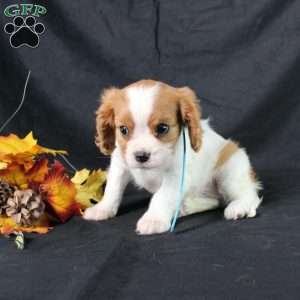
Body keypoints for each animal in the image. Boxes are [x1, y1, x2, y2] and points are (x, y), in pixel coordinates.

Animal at [83, 79, 262, 234]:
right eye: (123, 130)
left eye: (162, 128)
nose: (141, 156)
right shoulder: (120, 164)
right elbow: (113, 188)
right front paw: (103, 208)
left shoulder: (177, 175)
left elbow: (161, 196)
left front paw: (153, 219)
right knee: (214, 202)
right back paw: (185, 207)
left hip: (230, 172)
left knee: (249, 195)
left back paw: (239, 207)